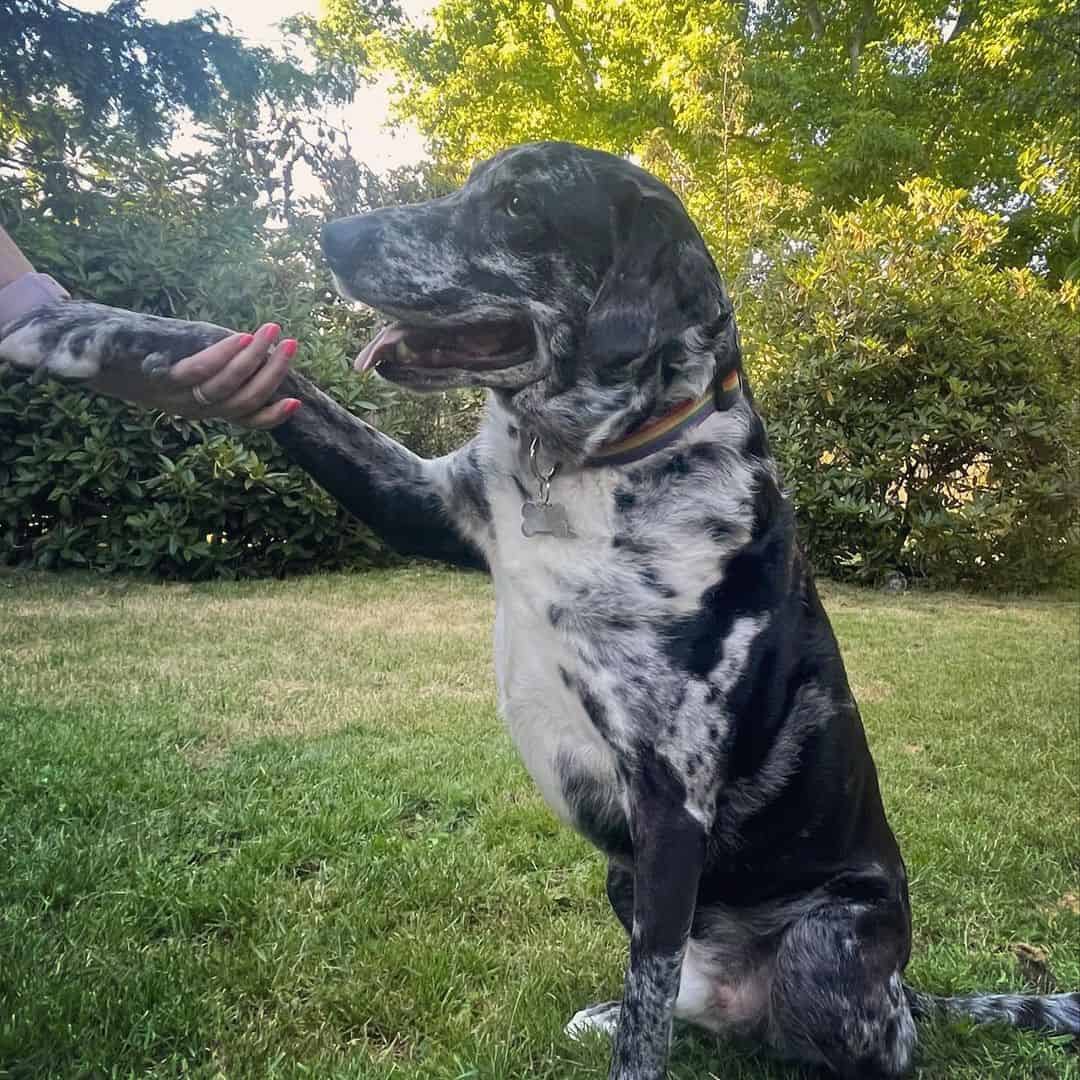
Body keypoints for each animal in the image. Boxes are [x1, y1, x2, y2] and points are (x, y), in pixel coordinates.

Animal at [2, 139, 1080, 1075]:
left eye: (519, 205)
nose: (333, 235)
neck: (587, 460)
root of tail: (904, 991)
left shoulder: (670, 799)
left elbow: (645, 1035)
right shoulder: (424, 503)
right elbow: (271, 371)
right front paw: (70, 327)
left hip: (823, 944)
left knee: (835, 1035)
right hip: (623, 874)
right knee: (681, 998)